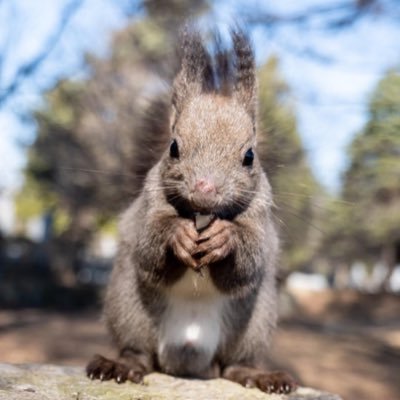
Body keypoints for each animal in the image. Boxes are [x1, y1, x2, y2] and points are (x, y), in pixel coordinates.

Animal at [86, 28, 296, 394]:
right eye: (173, 147)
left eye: (249, 156)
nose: (205, 188)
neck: (201, 215)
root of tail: (188, 354)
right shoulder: (148, 206)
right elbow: (148, 248)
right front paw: (178, 234)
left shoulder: (260, 216)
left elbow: (248, 262)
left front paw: (225, 237)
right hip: (129, 307)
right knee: (138, 352)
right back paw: (121, 365)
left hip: (253, 323)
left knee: (234, 364)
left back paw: (257, 375)